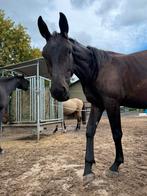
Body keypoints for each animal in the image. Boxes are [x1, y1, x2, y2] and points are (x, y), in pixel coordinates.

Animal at [37, 12, 147, 185]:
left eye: (69, 51)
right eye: (44, 54)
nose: (58, 91)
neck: (98, 68)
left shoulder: (112, 103)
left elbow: (116, 133)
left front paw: (115, 165)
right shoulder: (97, 105)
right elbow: (89, 132)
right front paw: (88, 169)